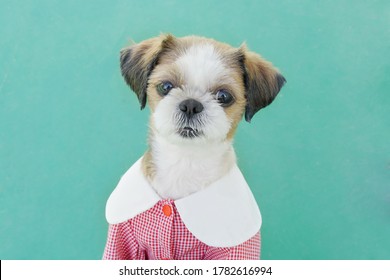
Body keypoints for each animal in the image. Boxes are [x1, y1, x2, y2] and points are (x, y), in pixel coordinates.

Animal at [103, 34, 286, 260]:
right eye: (166, 87)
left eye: (224, 96)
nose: (191, 104)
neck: (184, 161)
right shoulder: (122, 235)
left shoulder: (234, 248)